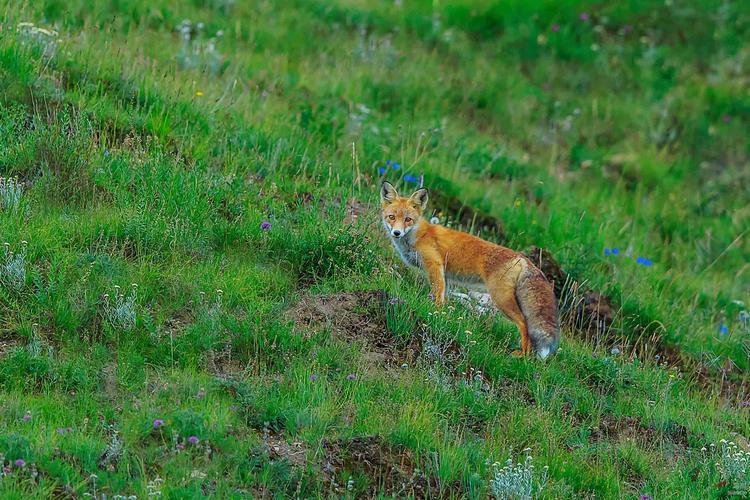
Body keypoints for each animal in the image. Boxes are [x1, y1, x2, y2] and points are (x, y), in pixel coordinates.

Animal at [384, 183, 560, 360]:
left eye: (408, 219)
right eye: (391, 217)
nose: (396, 233)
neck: (419, 235)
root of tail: (523, 258)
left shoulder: (434, 265)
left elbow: (437, 296)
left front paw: (434, 313)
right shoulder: (444, 276)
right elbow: (444, 299)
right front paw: (441, 315)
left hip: (501, 299)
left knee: (524, 323)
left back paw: (522, 355)